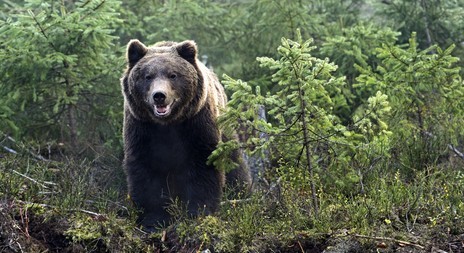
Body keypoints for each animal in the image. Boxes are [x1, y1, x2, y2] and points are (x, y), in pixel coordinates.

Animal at [119, 38, 250, 230]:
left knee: (235, 165)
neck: (168, 124)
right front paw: (154, 220)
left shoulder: (196, 123)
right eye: (147, 76)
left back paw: (242, 195)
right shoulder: (142, 128)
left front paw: (198, 212)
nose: (159, 95)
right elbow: (146, 171)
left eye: (173, 75)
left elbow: (203, 165)